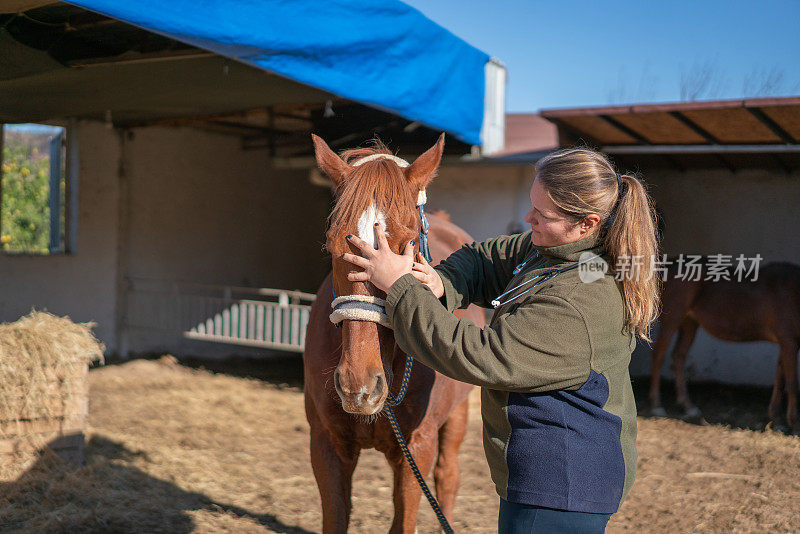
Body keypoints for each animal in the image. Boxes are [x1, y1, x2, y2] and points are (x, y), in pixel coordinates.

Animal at [302, 135, 484, 534]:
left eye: (408, 243)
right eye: (332, 243)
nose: (358, 385)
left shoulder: (417, 448)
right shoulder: (326, 444)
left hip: (456, 418)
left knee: (448, 477)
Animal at [648, 262, 800, 434]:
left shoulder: (786, 343)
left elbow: (780, 380)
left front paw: (778, 421)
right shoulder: (788, 341)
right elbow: (792, 383)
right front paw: (795, 425)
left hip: (689, 322)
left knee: (678, 355)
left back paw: (688, 406)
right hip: (672, 318)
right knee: (659, 355)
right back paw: (657, 406)